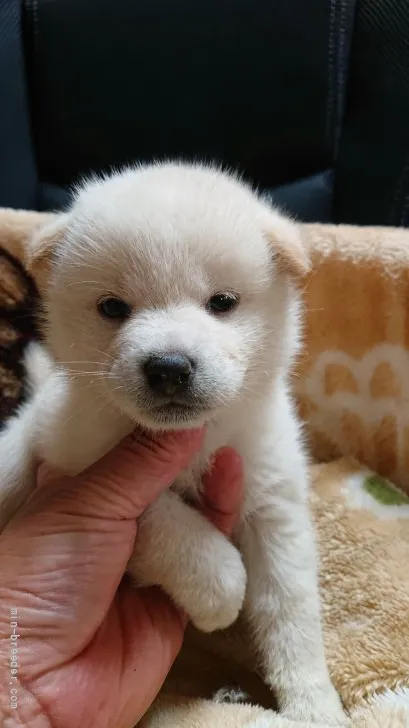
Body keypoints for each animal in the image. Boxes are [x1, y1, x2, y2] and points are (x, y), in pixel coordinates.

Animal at [0, 162, 346, 724]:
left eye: (222, 302)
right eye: (112, 307)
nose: (168, 367)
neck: (195, 442)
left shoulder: (273, 500)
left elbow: (290, 611)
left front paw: (314, 706)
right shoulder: (77, 467)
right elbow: (176, 531)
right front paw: (220, 596)